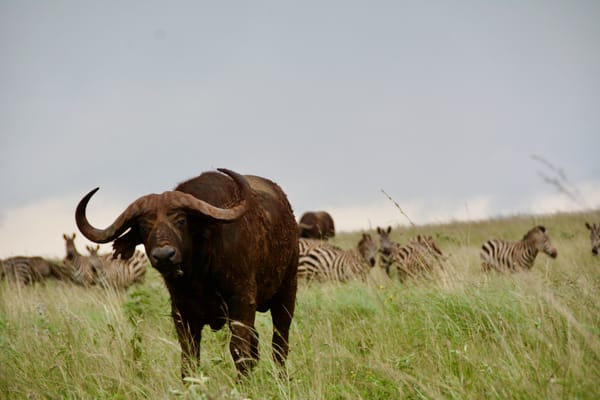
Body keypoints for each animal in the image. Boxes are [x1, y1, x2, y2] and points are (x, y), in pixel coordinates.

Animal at [76, 169, 298, 378]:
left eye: (181, 221)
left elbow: (239, 350)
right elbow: (189, 358)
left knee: (279, 345)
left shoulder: (242, 302)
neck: (200, 276)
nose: (164, 255)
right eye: (143, 227)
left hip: (287, 292)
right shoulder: (181, 313)